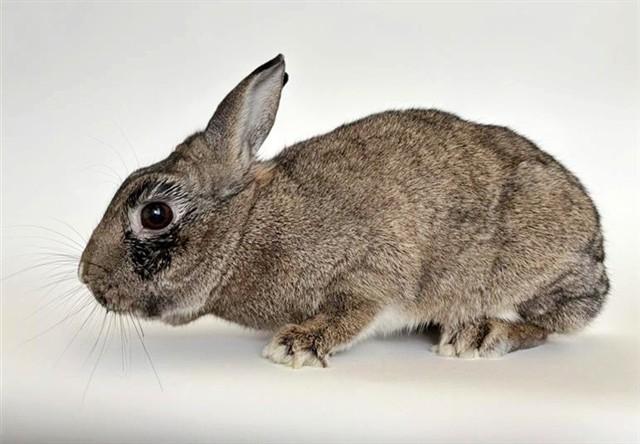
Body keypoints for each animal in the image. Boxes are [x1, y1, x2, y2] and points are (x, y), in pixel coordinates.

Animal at [79, 54, 609, 368]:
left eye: (155, 215)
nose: (86, 275)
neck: (243, 230)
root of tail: (597, 258)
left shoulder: (369, 272)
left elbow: (355, 312)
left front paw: (295, 346)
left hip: (530, 271)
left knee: (545, 324)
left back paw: (478, 335)